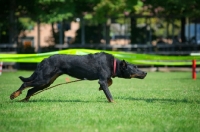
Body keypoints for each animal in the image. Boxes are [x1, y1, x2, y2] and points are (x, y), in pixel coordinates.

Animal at [9, 52, 147, 102]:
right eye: (135, 68)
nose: (145, 73)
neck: (113, 64)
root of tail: (44, 60)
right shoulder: (102, 79)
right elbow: (109, 94)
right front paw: (114, 103)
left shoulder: (104, 79)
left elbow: (110, 81)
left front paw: (100, 89)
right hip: (44, 78)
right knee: (25, 84)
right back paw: (14, 95)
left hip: (47, 81)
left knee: (30, 90)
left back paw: (24, 100)